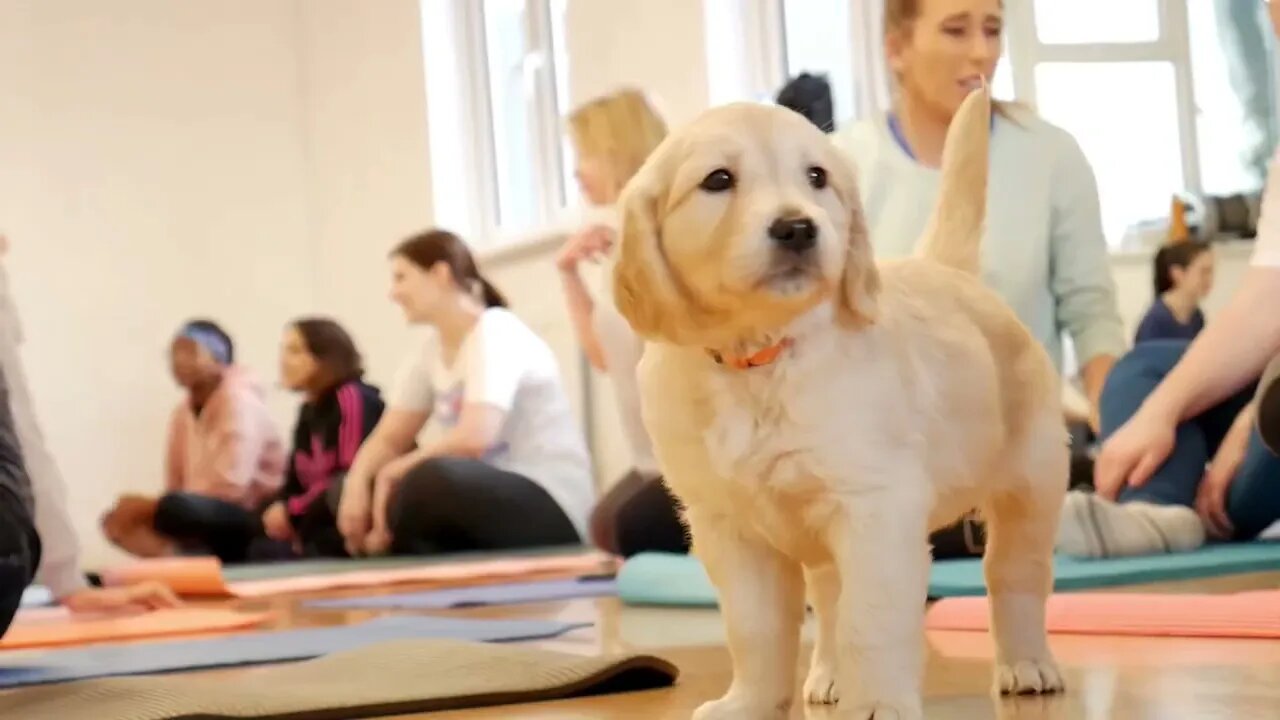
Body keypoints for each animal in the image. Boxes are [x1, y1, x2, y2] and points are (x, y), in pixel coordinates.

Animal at [614, 85, 1064, 717]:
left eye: (817, 177)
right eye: (718, 180)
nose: (798, 228)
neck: (761, 357)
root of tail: (944, 269)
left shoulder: (877, 506)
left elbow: (870, 619)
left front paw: (876, 702)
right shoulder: (728, 526)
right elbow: (754, 628)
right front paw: (749, 702)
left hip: (1031, 479)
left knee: (1014, 573)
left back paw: (1025, 663)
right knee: (828, 597)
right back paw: (828, 676)